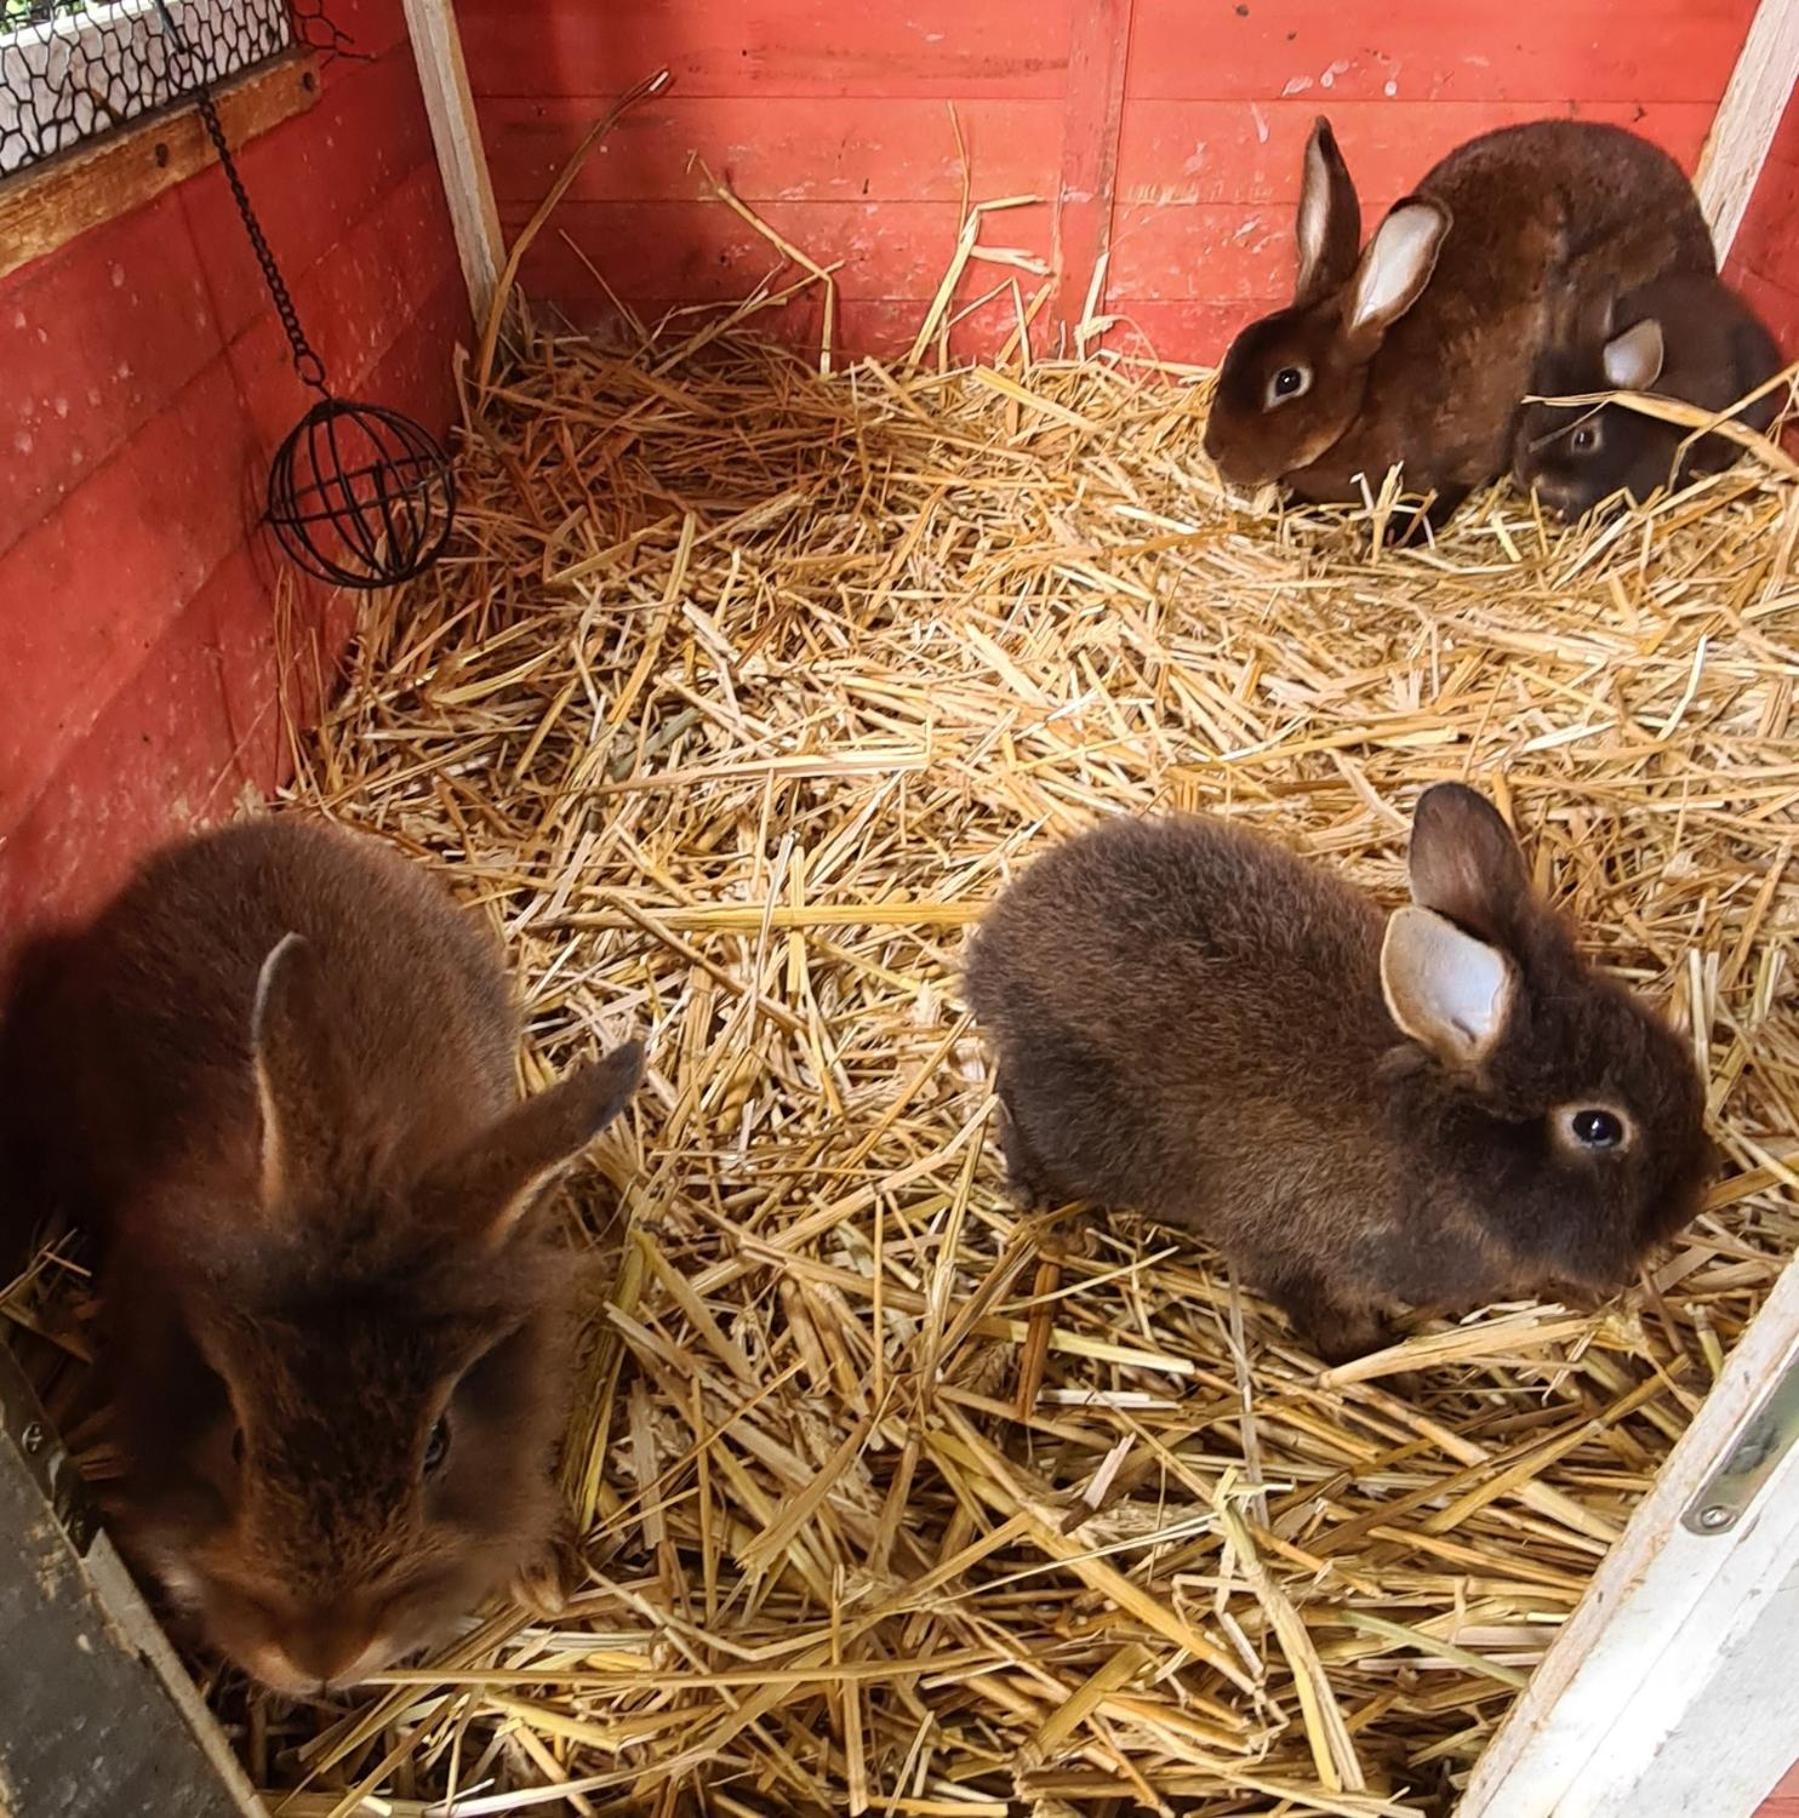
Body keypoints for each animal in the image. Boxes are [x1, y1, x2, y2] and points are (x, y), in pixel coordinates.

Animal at [966, 781, 1708, 1367]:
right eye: (1597, 1127)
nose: (1694, 1196)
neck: (1439, 1151)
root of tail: (990, 960)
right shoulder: (1302, 1259)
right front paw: (1373, 1355)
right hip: (1077, 1130)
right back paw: (1028, 1191)